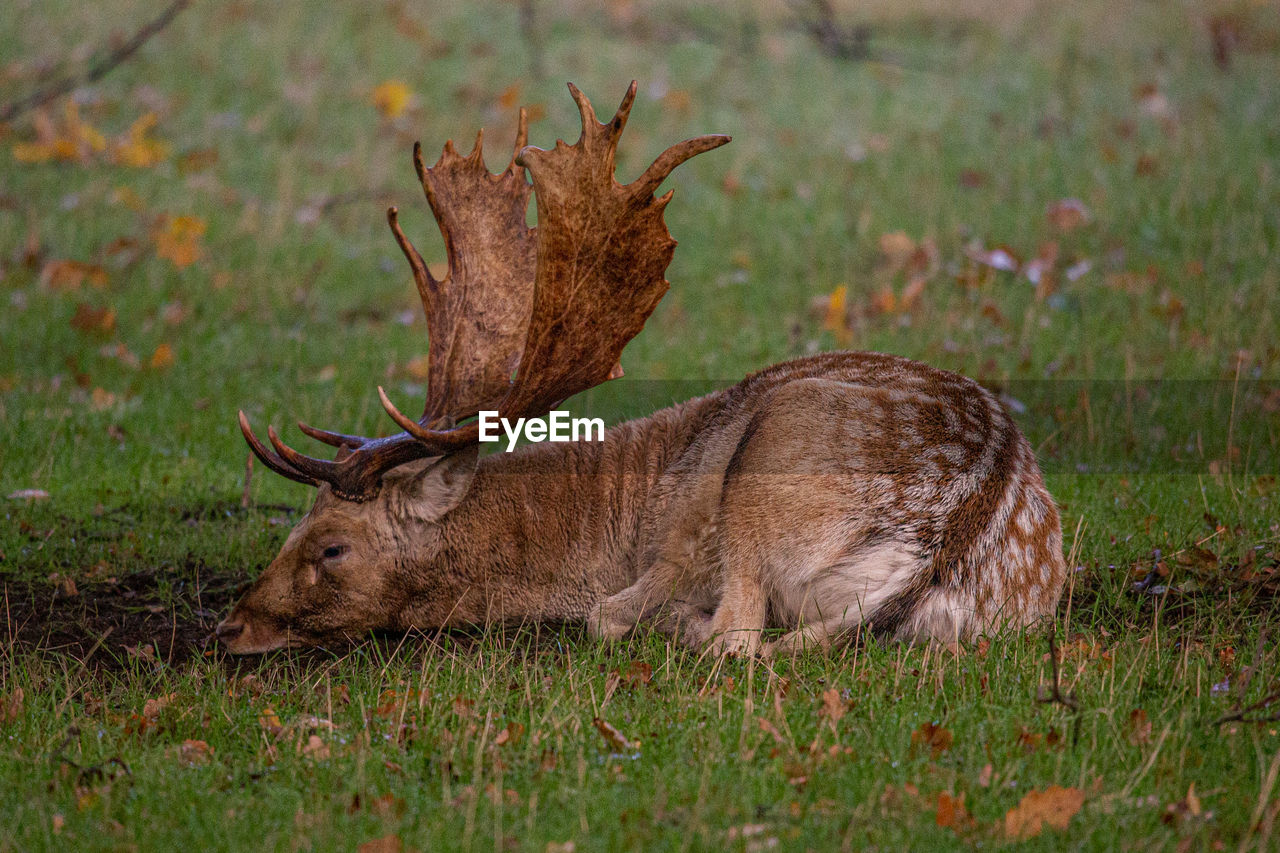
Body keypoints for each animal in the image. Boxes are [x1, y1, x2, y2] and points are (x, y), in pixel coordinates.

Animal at [215, 79, 1064, 653]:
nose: (230, 624)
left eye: (332, 547)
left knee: (736, 638)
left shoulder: (681, 541)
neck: (611, 529)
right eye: (295, 524)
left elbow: (614, 613)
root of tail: (953, 530)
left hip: (771, 459)